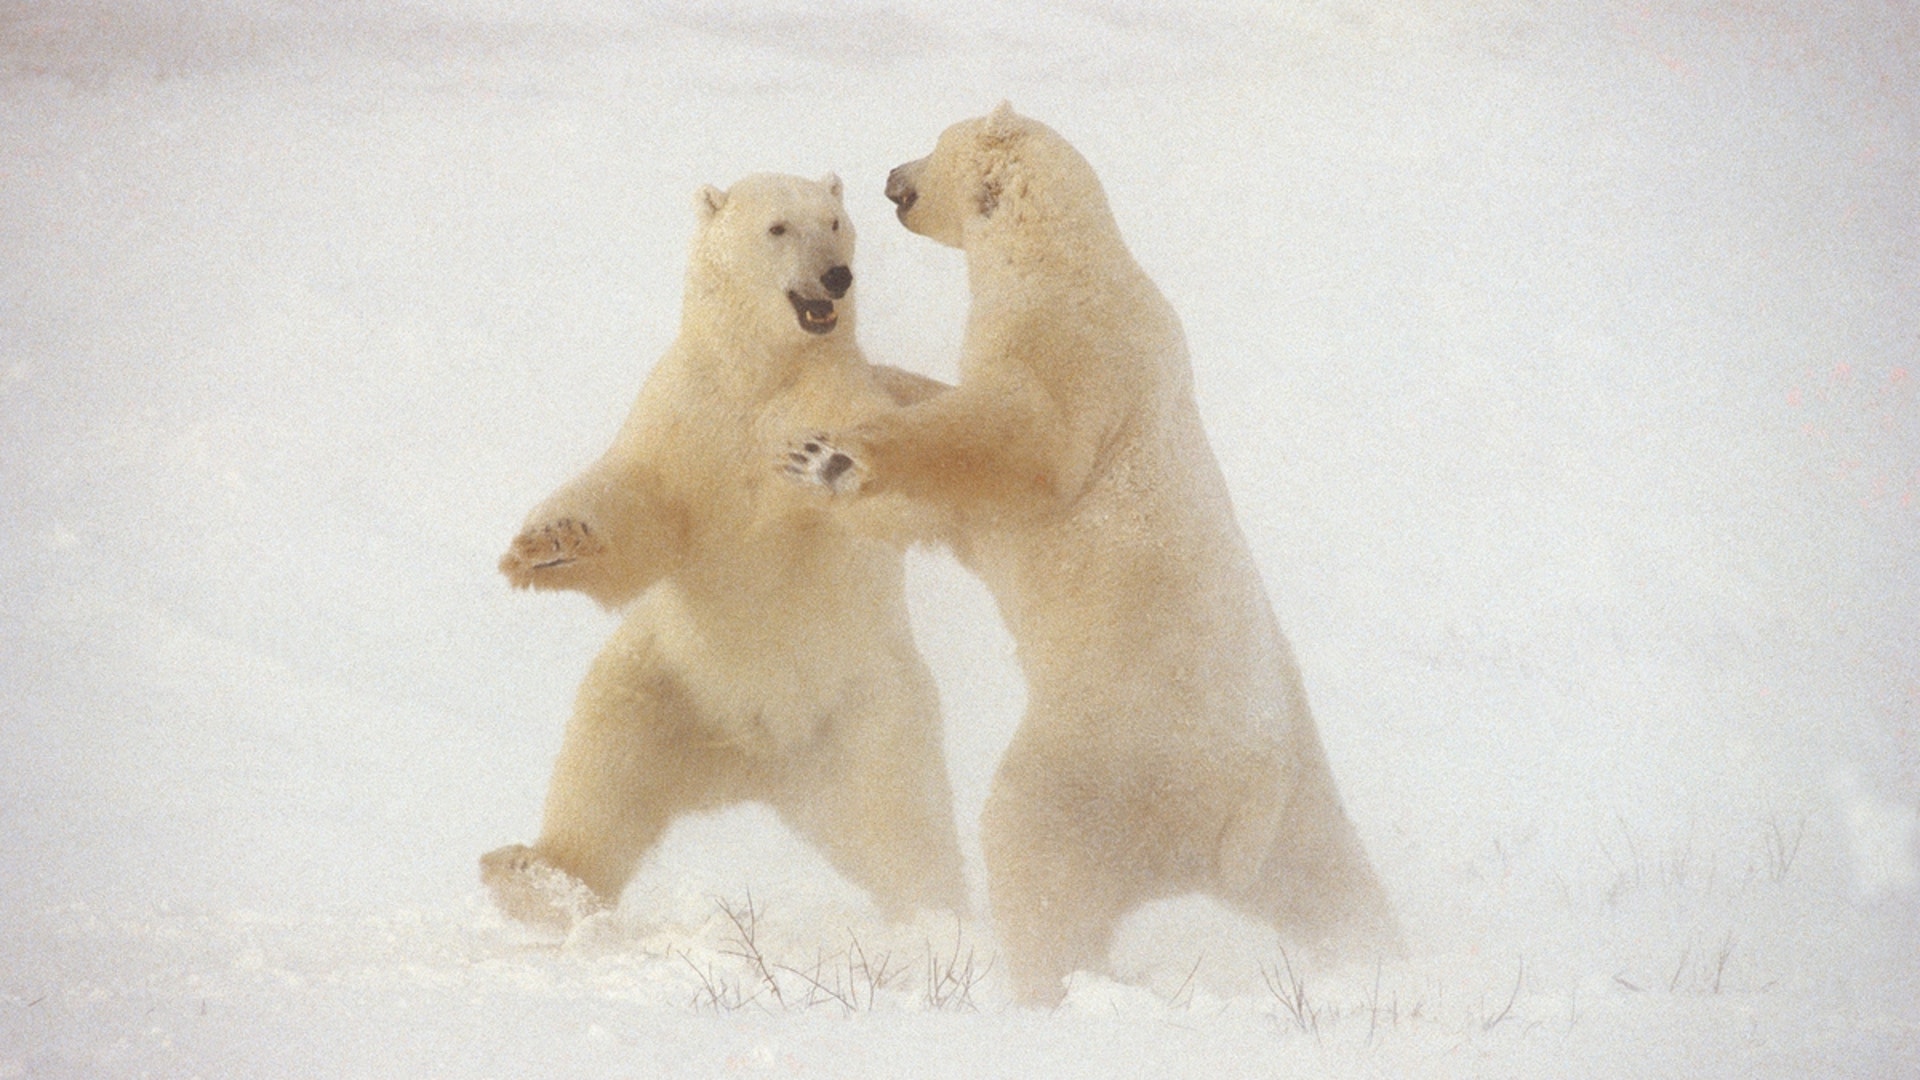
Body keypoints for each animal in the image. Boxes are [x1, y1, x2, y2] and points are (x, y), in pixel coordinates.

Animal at [478, 171, 960, 930]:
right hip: (666, 686)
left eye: (834, 222)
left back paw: (940, 923)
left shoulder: (833, 393)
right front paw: (548, 545)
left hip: (868, 710)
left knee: (901, 822)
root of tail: (755, 761)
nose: (836, 275)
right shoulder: (685, 414)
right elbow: (638, 505)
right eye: (778, 227)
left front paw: (835, 466)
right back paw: (539, 878)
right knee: (604, 769)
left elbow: (886, 483)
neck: (760, 375)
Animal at [787, 109, 1405, 999]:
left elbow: (1014, 438)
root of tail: (1235, 816)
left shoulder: (1067, 343)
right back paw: (1380, 955)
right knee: (1329, 881)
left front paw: (831, 457)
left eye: (936, 142)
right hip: (1299, 797)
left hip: (1099, 756)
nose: (890, 175)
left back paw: (1038, 983)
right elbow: (950, 474)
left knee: (1033, 847)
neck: (1064, 256)